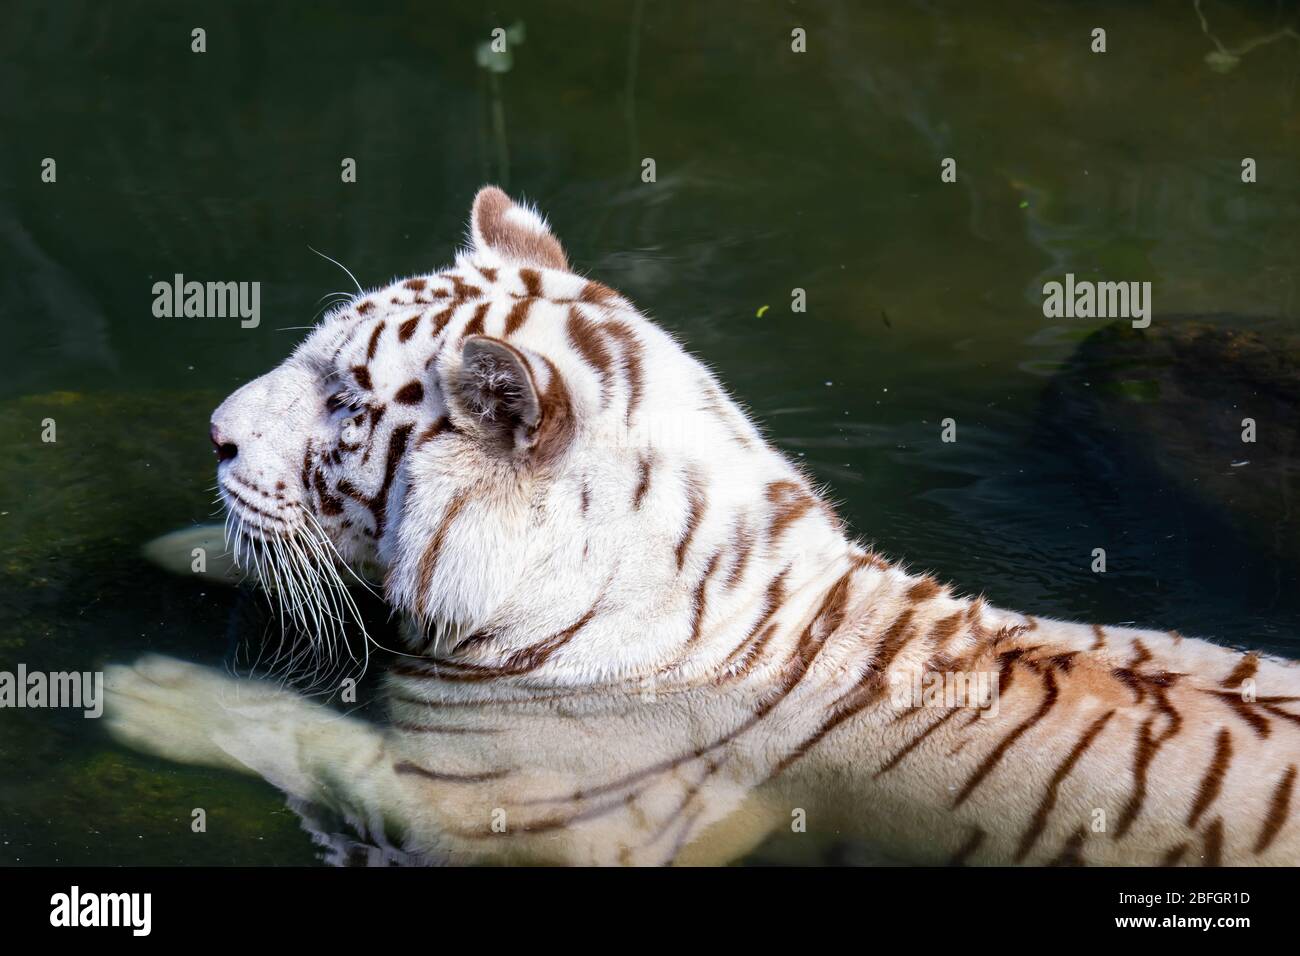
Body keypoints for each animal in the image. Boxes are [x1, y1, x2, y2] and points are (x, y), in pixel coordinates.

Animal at [106, 186, 1300, 866]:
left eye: (347, 404)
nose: (214, 434)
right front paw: (176, 545)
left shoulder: (506, 814)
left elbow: (310, 741)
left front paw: (148, 697)